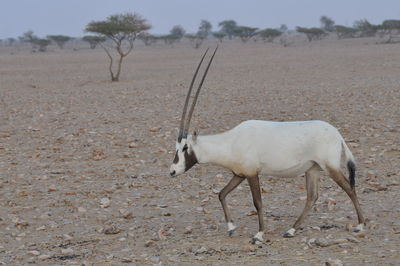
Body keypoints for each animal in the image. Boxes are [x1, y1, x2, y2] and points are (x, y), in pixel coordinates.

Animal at [169, 47, 366, 243]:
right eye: (176, 147)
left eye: (185, 147)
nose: (172, 171)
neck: (231, 141)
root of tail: (337, 134)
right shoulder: (239, 174)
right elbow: (221, 194)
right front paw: (231, 228)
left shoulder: (252, 174)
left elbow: (258, 202)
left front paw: (259, 234)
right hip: (312, 169)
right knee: (312, 197)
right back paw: (291, 230)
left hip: (330, 166)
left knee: (349, 188)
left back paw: (360, 225)